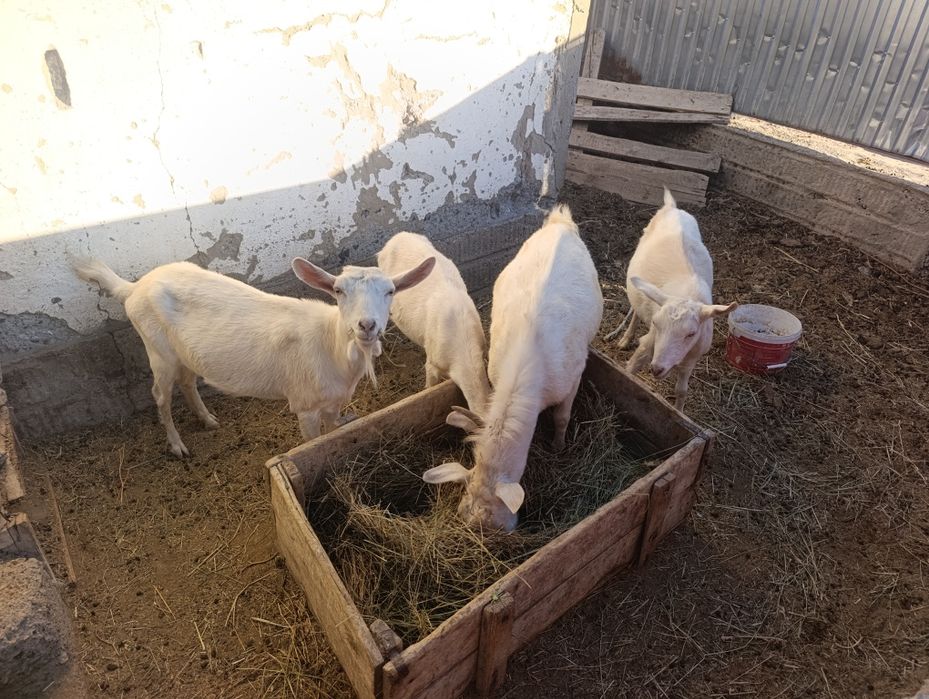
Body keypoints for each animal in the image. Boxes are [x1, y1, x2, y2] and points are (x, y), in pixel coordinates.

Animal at [73, 256, 435, 457]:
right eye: (338, 291)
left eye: (390, 291)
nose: (366, 325)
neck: (332, 347)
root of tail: (133, 288)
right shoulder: (304, 404)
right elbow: (313, 440)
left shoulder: (334, 400)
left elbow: (335, 430)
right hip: (157, 349)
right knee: (160, 396)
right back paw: (177, 446)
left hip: (184, 353)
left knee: (187, 382)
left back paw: (207, 420)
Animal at [617, 188, 736, 410]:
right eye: (657, 324)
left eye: (691, 334)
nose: (656, 369)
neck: (687, 296)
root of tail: (672, 207)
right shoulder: (648, 343)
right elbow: (629, 370)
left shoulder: (692, 358)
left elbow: (681, 391)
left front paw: (679, 412)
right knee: (636, 309)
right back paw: (626, 338)